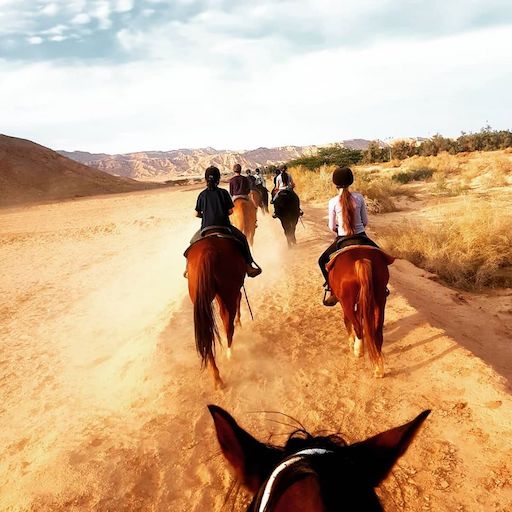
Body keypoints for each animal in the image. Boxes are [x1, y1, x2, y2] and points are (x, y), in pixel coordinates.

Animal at [186, 236, 246, 388]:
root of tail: (208, 251)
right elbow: (239, 298)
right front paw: (239, 322)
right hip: (227, 291)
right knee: (227, 322)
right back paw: (230, 352)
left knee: (207, 335)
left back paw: (216, 377)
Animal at [328, 246, 396, 378]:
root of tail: (361, 259)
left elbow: (347, 322)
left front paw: (351, 343)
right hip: (380, 298)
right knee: (377, 331)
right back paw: (378, 369)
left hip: (347, 303)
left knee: (357, 326)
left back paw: (358, 350)